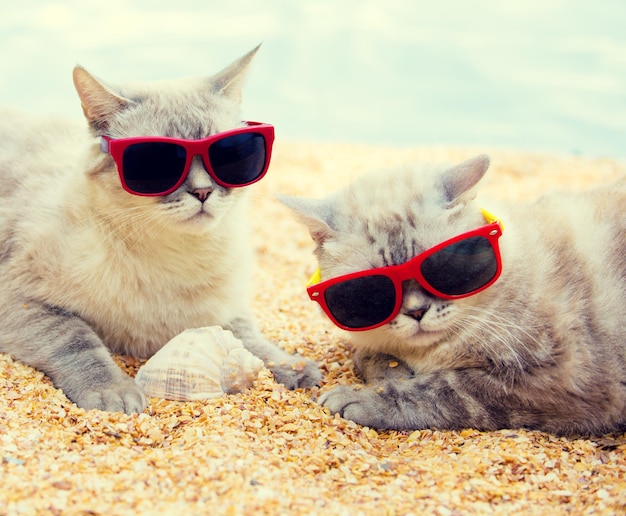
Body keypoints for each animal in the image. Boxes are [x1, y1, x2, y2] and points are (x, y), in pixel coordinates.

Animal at [0, 46, 320, 414]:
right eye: (155, 164)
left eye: (231, 155)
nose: (202, 192)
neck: (176, 259)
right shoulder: (24, 301)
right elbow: (77, 341)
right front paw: (114, 392)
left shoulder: (225, 310)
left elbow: (251, 340)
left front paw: (293, 367)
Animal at [282, 155, 624, 434]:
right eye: (369, 291)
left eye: (445, 266)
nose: (417, 311)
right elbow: (373, 358)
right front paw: (391, 373)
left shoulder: (558, 376)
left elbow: (442, 389)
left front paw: (361, 398)